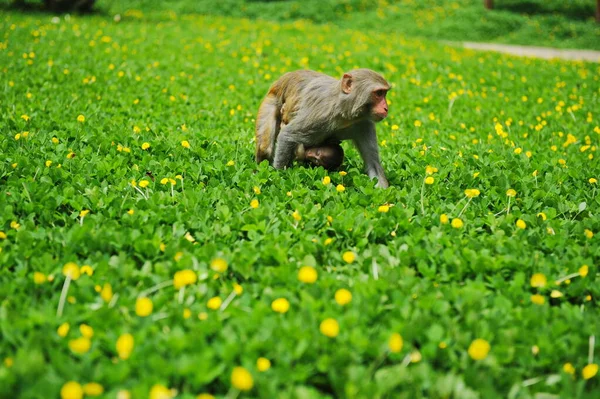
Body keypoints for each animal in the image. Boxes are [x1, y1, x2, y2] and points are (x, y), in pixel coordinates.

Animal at [253, 68, 390, 188]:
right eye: (379, 93)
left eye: (384, 93)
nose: (386, 108)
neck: (344, 113)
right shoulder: (319, 115)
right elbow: (287, 135)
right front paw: (279, 176)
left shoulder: (364, 123)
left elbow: (373, 164)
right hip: (270, 101)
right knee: (265, 148)